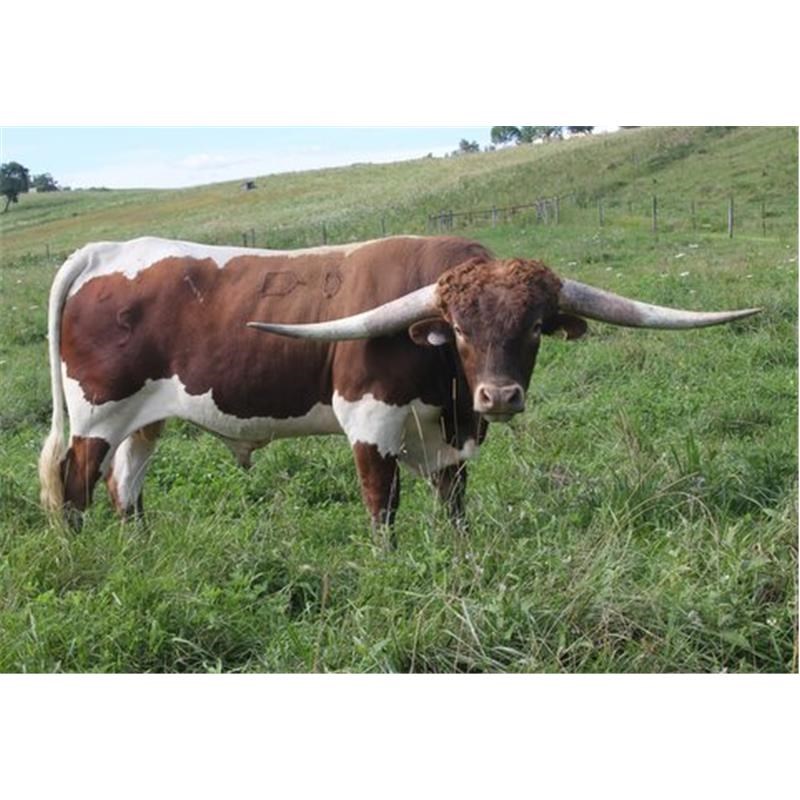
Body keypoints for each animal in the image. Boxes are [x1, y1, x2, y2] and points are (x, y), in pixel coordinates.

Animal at [38, 235, 759, 536]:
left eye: (534, 327)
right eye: (459, 329)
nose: (500, 396)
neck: (450, 390)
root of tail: (105, 251)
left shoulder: (452, 437)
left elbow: (454, 505)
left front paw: (458, 558)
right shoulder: (371, 422)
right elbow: (382, 509)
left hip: (144, 420)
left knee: (124, 487)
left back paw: (141, 550)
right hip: (96, 416)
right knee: (73, 488)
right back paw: (87, 559)